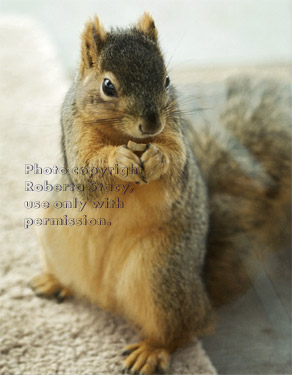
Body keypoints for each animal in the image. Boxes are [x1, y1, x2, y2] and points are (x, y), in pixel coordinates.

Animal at [30, 12, 292, 375]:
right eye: (107, 86)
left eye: (167, 79)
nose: (152, 123)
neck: (124, 136)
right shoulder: (74, 131)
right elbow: (88, 171)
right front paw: (117, 160)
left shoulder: (175, 136)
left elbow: (174, 166)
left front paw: (157, 158)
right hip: (58, 238)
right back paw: (55, 282)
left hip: (161, 273)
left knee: (182, 329)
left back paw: (152, 350)